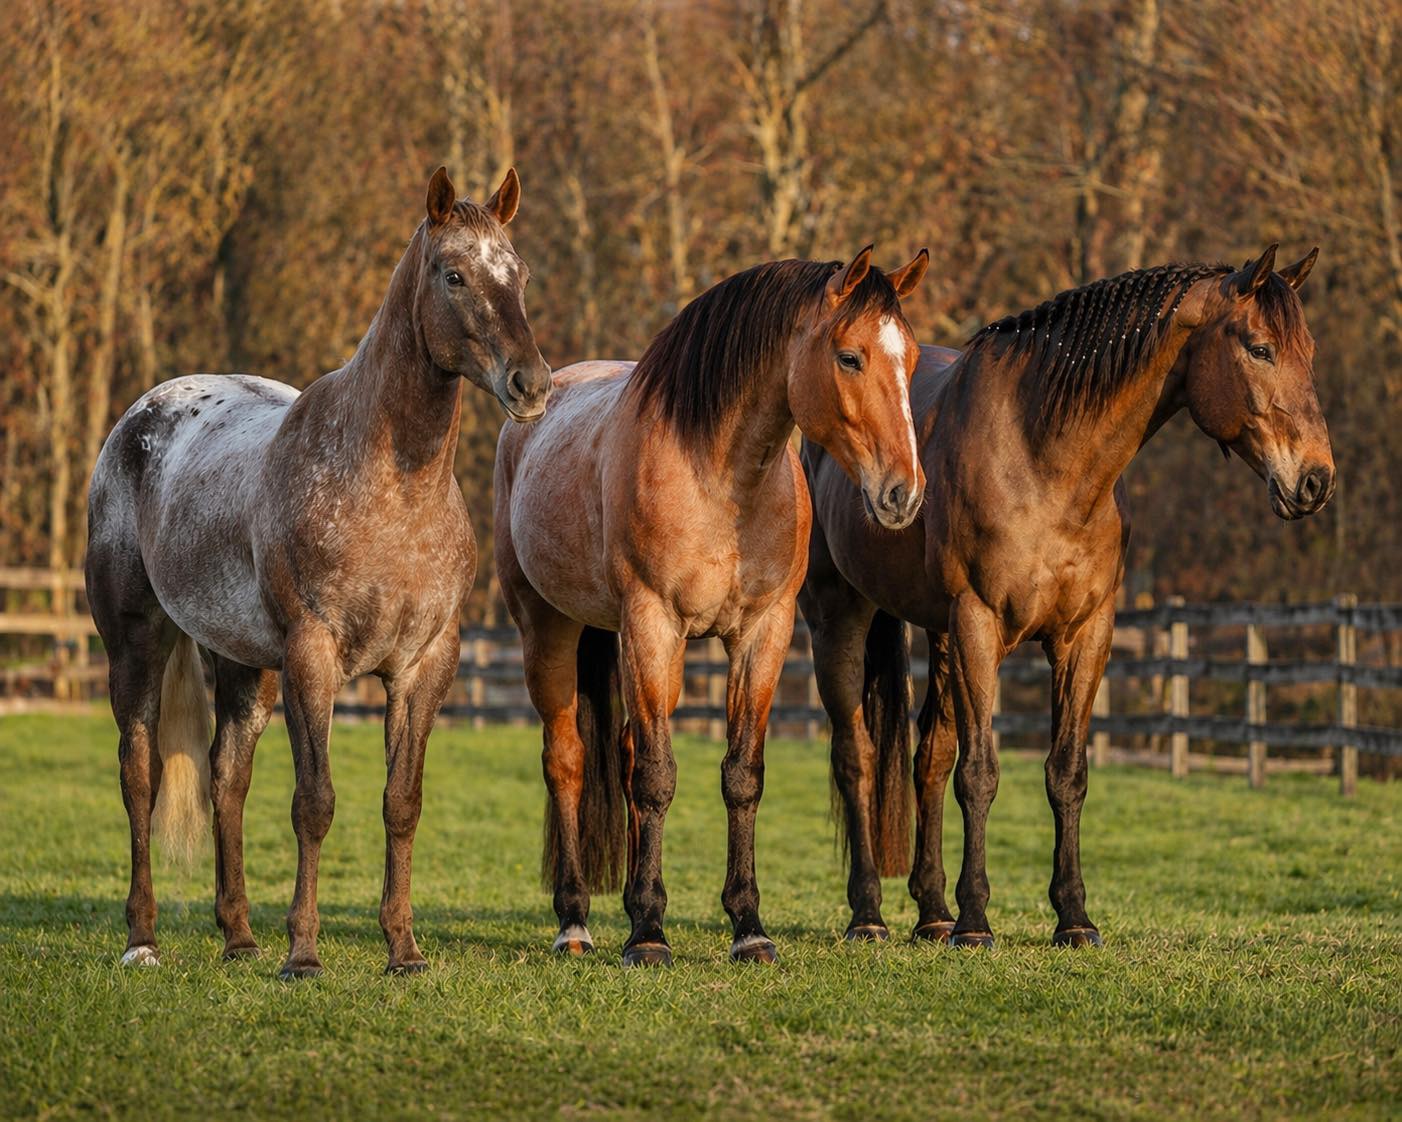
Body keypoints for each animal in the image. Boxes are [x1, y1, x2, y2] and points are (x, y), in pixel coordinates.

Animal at [85, 167, 550, 977]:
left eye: (518, 274)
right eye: (453, 275)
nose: (531, 384)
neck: (388, 489)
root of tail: (138, 419)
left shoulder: (425, 666)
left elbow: (401, 803)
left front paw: (403, 949)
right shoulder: (313, 656)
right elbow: (315, 802)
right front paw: (303, 953)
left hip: (244, 667)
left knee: (226, 779)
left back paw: (239, 937)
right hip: (136, 646)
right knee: (140, 778)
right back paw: (142, 939)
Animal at [494, 248, 930, 965]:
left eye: (913, 359)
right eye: (850, 357)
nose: (904, 493)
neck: (721, 481)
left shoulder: (762, 634)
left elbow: (740, 775)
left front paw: (748, 927)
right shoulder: (652, 624)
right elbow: (657, 778)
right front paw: (648, 934)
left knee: (622, 753)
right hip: (548, 629)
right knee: (567, 762)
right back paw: (575, 922)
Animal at [800, 245, 1334, 948]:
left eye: (1308, 353)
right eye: (1260, 347)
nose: (1317, 480)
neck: (1043, 457)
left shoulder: (1085, 635)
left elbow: (1066, 774)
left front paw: (1073, 917)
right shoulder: (978, 625)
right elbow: (981, 773)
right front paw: (977, 922)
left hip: (937, 636)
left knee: (928, 758)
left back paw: (932, 913)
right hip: (842, 619)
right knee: (857, 758)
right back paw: (870, 914)